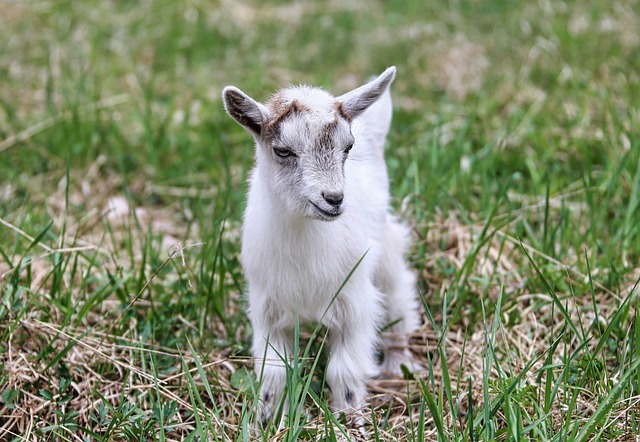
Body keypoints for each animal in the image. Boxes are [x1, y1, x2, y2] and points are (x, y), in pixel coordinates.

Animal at [222, 67, 422, 420]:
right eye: (283, 151)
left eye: (348, 147)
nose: (334, 199)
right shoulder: (267, 307)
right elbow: (274, 370)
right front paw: (269, 416)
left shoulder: (354, 303)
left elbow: (343, 370)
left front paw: (348, 417)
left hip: (386, 249)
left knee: (399, 295)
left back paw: (398, 362)